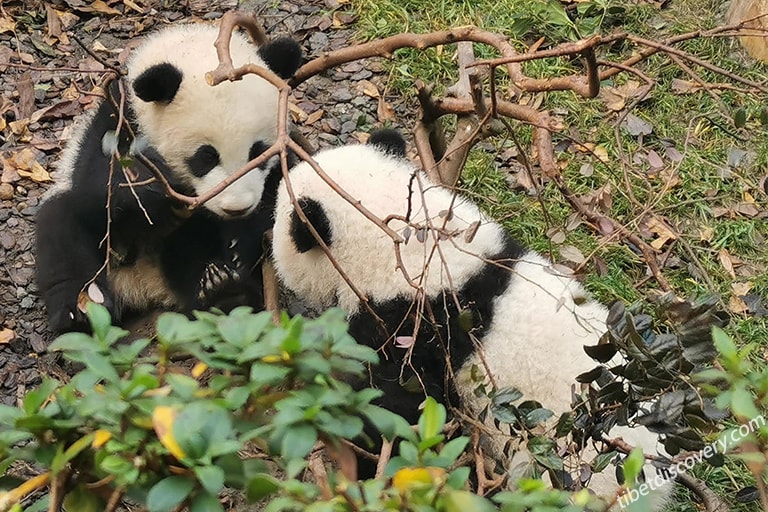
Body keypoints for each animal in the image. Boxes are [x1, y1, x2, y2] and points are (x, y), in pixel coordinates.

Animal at [36, 23, 302, 333]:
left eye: (257, 151)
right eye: (206, 157)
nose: (236, 208)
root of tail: (144, 286)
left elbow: (277, 196)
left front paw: (238, 244)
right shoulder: (117, 117)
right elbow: (99, 186)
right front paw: (158, 188)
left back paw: (225, 294)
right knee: (63, 232)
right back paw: (82, 309)